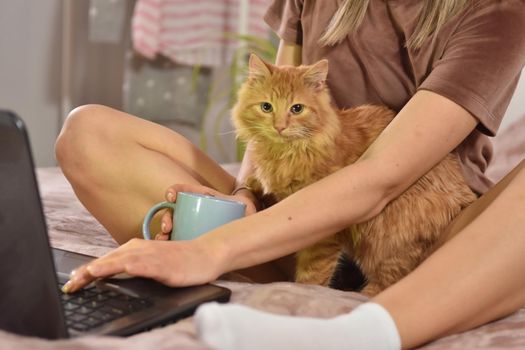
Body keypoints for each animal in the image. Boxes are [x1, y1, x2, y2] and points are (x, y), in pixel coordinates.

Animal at [231, 54, 476, 296]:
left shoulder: (323, 232)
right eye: (266, 107)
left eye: (297, 109)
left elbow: (312, 275)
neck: (287, 151)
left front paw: (305, 289)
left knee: (388, 281)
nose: (279, 127)